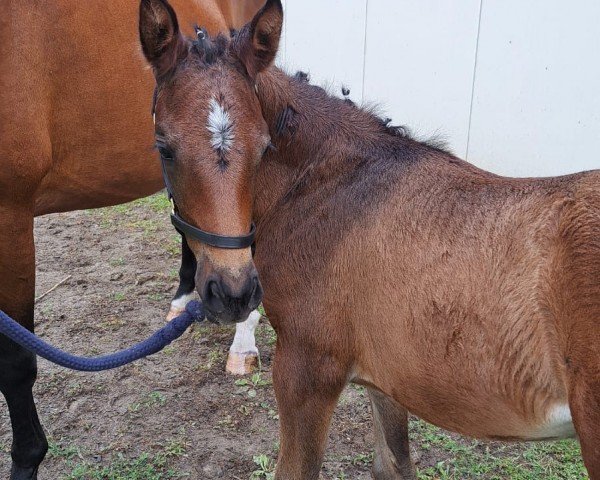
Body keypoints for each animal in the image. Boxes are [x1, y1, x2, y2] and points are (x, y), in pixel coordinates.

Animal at [0, 1, 262, 478]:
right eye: (163, 147)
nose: (230, 296)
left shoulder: (9, 215)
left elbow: (14, 363)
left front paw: (27, 459)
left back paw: (242, 342)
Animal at [137, 0, 600, 478]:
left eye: (265, 146)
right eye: (164, 148)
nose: (232, 292)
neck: (330, 185)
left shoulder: (306, 369)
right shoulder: (388, 378)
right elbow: (393, 464)